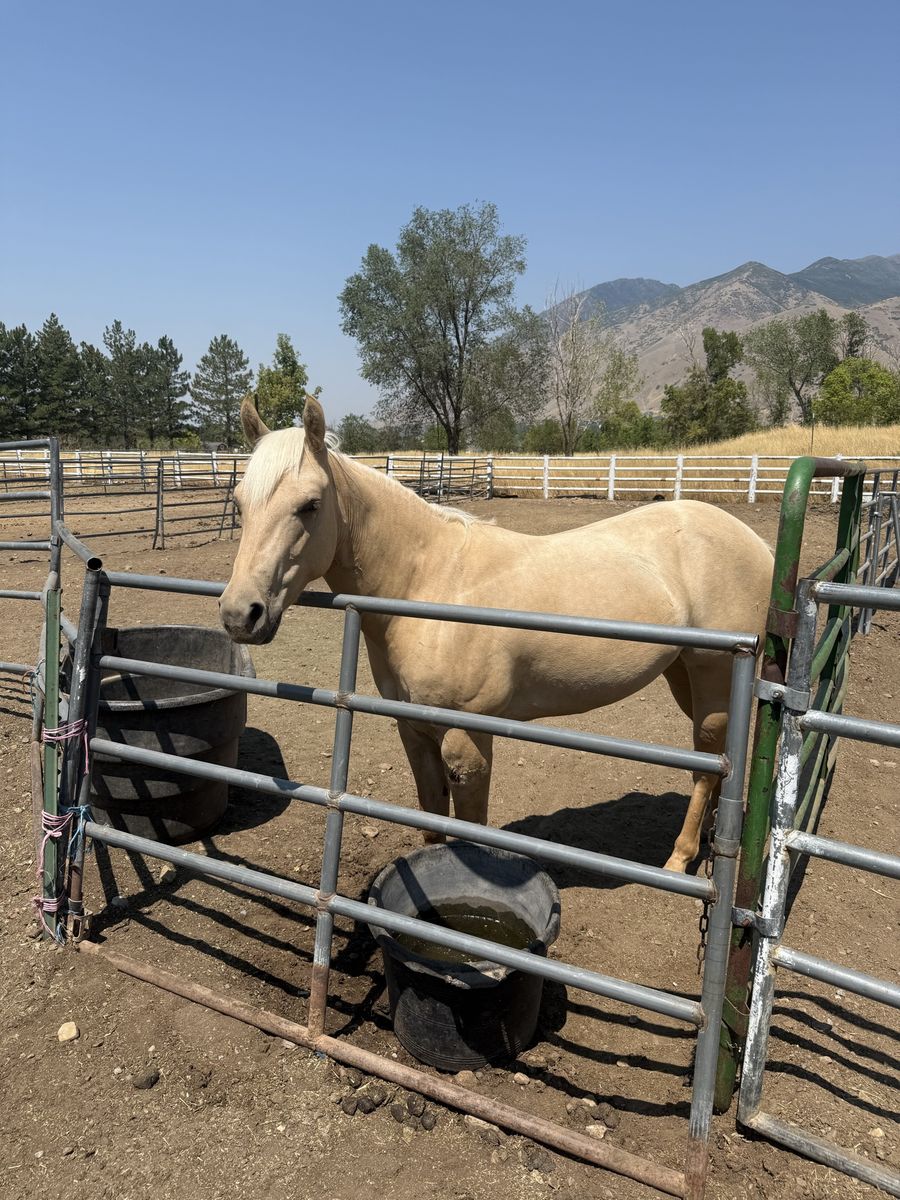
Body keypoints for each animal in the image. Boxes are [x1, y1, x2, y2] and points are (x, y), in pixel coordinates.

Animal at [219, 397, 773, 872]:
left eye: (310, 505)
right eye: (240, 502)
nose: (239, 613)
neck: (427, 584)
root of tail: (753, 541)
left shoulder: (468, 743)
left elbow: (471, 829)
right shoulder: (413, 732)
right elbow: (431, 819)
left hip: (712, 676)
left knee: (707, 765)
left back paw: (680, 859)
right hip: (683, 674)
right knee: (713, 762)